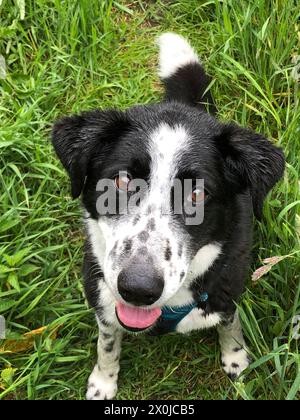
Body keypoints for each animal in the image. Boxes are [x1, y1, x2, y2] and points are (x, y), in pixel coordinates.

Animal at [52, 33, 286, 400]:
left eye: (198, 193)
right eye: (122, 180)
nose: (138, 288)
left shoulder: (227, 292)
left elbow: (230, 326)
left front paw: (236, 359)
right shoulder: (102, 298)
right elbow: (107, 344)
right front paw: (103, 381)